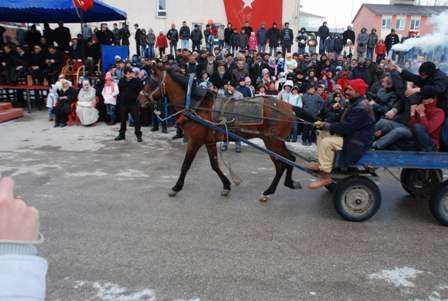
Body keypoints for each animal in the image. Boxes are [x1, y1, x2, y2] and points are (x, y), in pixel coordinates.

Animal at [139, 62, 300, 202]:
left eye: (151, 82)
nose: (139, 100)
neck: (196, 106)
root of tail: (289, 107)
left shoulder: (194, 141)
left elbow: (186, 164)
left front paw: (176, 187)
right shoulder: (209, 141)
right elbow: (214, 164)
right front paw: (226, 185)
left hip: (273, 141)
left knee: (284, 163)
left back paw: (269, 191)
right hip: (274, 142)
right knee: (288, 160)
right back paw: (286, 184)